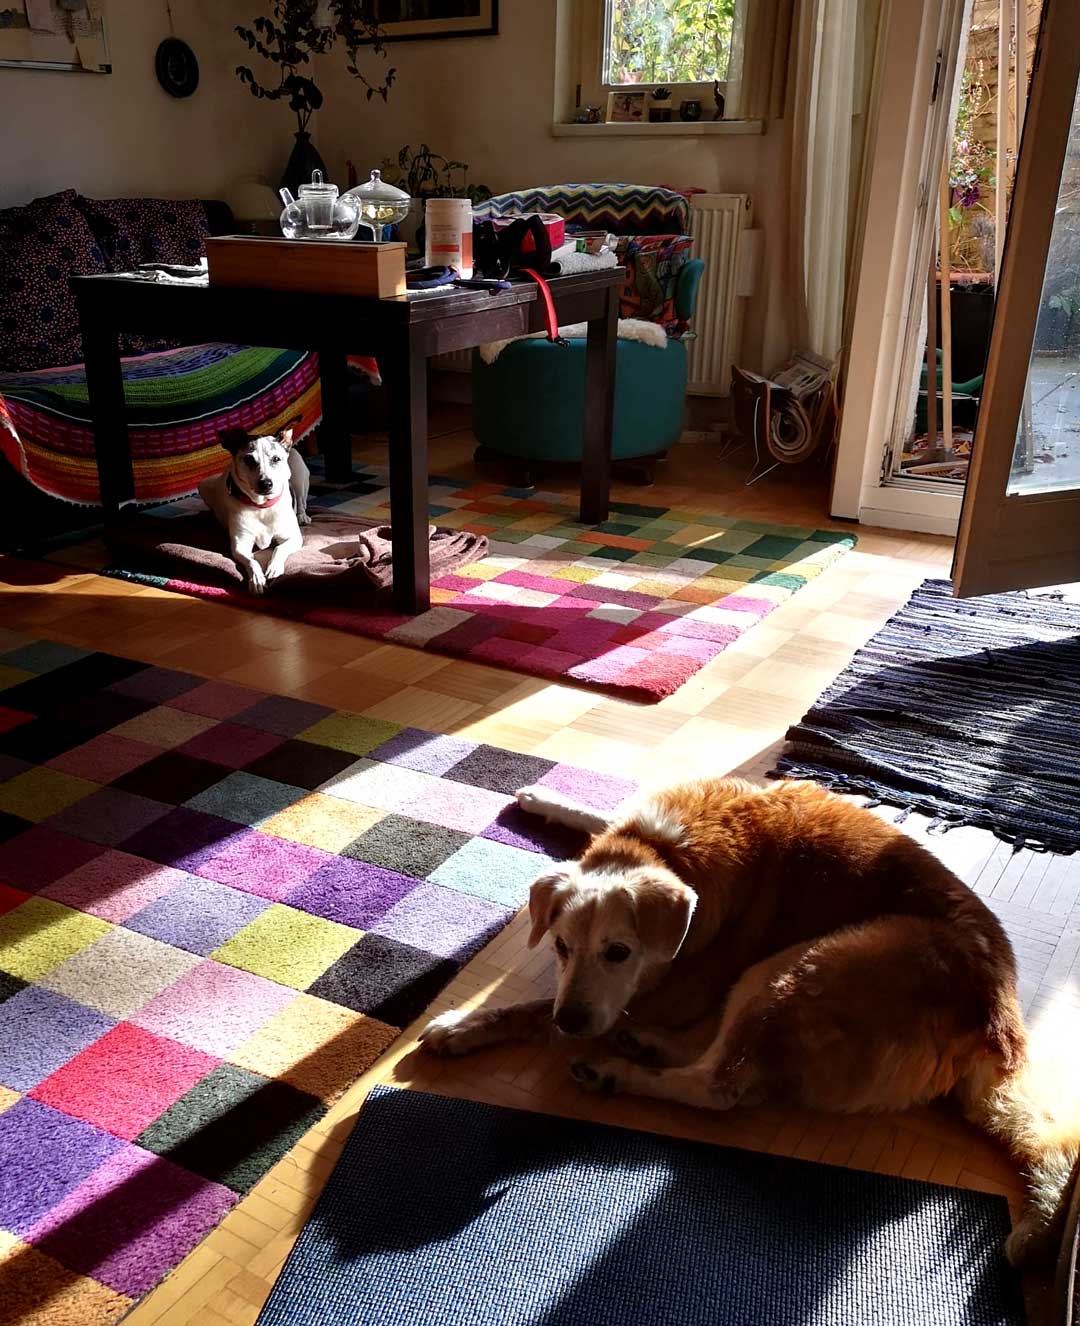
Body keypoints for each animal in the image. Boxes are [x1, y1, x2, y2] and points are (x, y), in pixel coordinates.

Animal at [198, 421, 311, 595]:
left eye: (276, 459)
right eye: (249, 459)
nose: (266, 483)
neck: (261, 506)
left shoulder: (293, 538)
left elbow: (279, 549)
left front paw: (274, 568)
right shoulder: (240, 546)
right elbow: (252, 561)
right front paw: (257, 579)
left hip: (298, 470)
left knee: (301, 500)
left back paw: (302, 516)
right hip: (204, 484)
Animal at [420, 776, 1080, 1266]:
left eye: (619, 952)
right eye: (558, 946)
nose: (576, 1021)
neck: (664, 851)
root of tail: (1000, 1030)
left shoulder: (663, 991)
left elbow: (537, 1010)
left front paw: (463, 1026)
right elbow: (594, 811)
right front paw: (543, 799)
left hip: (795, 967)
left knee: (720, 1085)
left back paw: (618, 1068)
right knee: (719, 1063)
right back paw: (641, 1045)